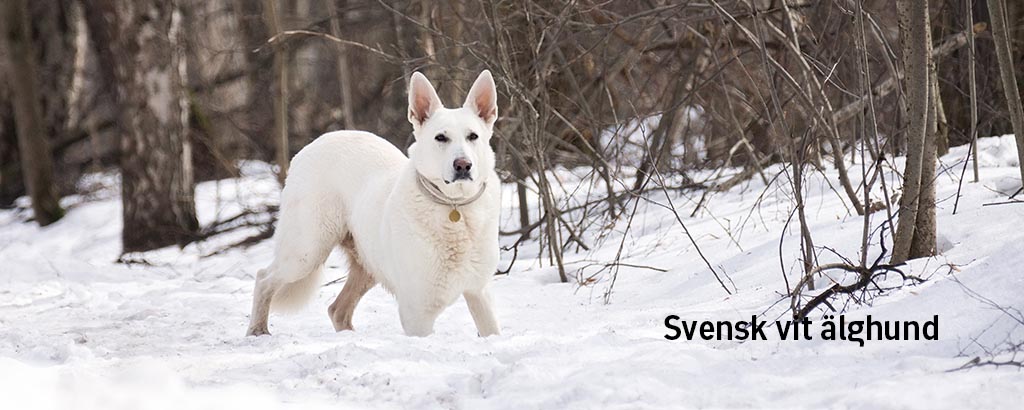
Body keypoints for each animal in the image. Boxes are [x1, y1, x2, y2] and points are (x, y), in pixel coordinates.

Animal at [247, 70, 503, 338]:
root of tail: (312, 144)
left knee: (337, 309)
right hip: (306, 252)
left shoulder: (480, 294)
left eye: (473, 136)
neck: (455, 207)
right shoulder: (417, 312)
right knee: (263, 278)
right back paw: (257, 331)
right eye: (441, 138)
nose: (463, 165)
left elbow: (492, 330)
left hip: (367, 264)